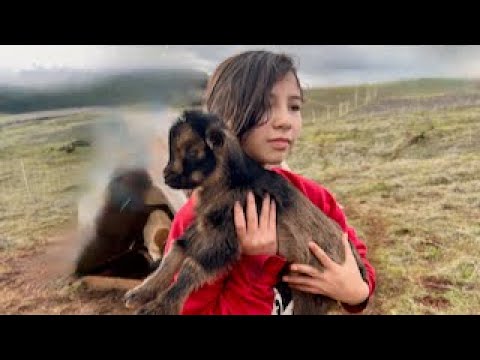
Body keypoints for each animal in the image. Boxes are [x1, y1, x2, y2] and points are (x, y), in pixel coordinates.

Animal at [124, 110, 368, 316]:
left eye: (193, 151)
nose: (166, 175)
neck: (234, 183)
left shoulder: (224, 237)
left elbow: (191, 268)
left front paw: (159, 307)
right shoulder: (205, 228)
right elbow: (174, 253)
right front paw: (140, 294)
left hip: (313, 293)